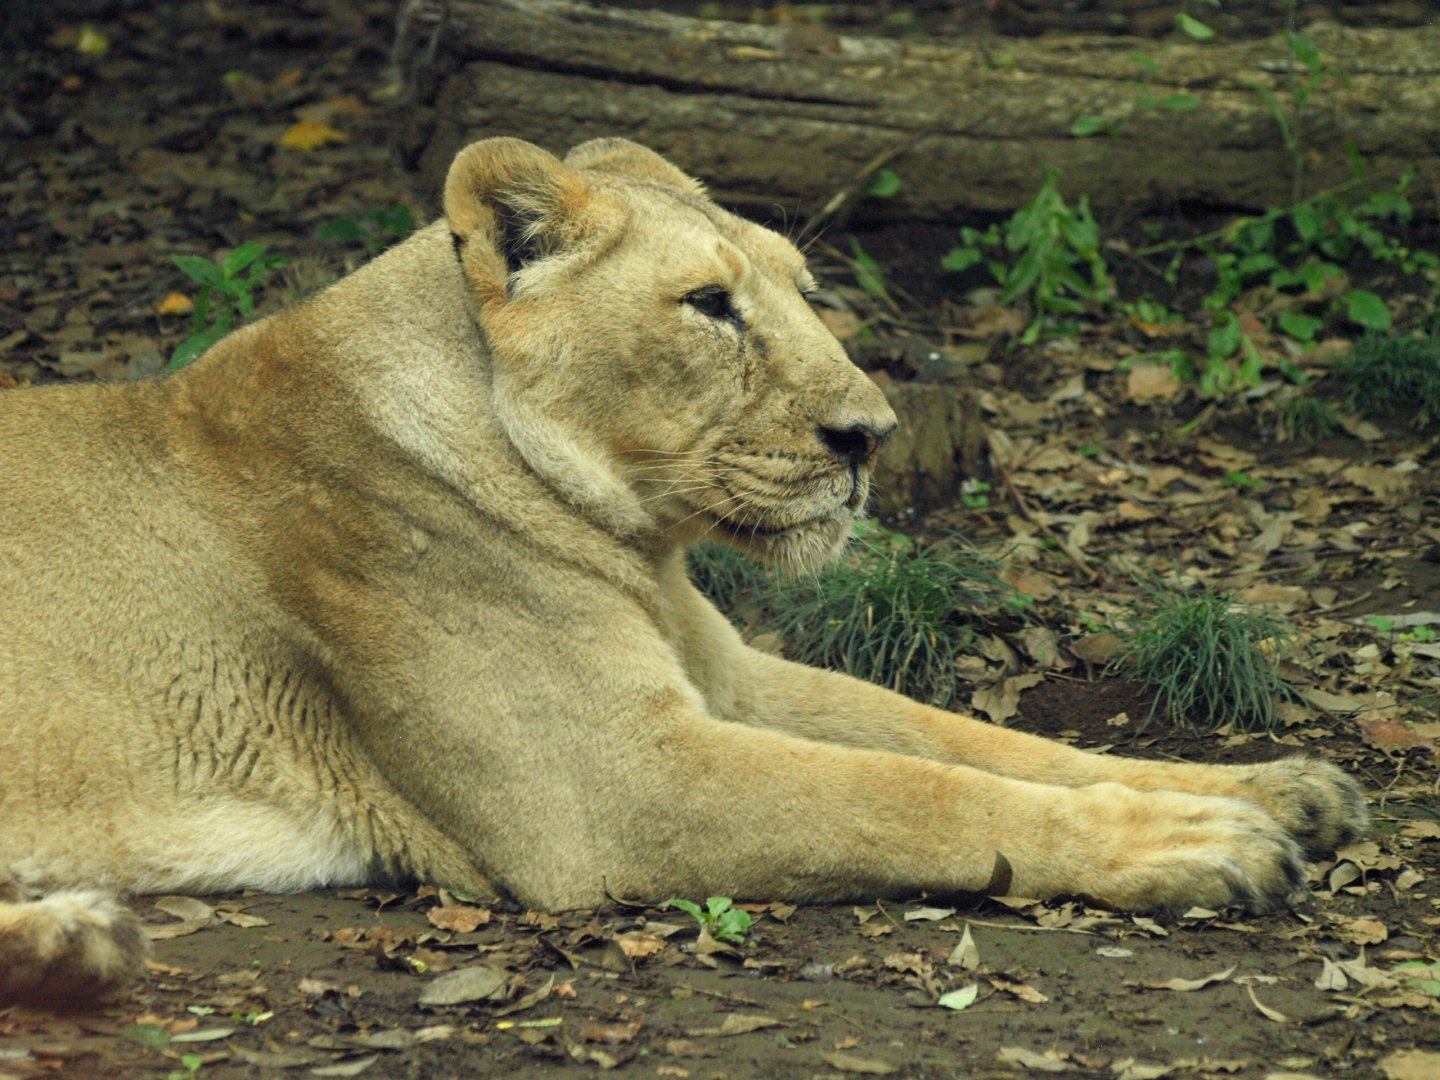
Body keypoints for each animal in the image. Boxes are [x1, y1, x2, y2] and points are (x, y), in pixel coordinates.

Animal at [0, 137, 1366, 1006]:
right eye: (709, 305)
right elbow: (915, 796)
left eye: (805, 291)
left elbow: (979, 741)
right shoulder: (611, 786)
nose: (872, 436)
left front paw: (1279, 789)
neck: (642, 547)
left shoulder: (729, 676)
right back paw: (74, 942)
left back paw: (75, 943)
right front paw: (1203, 846)